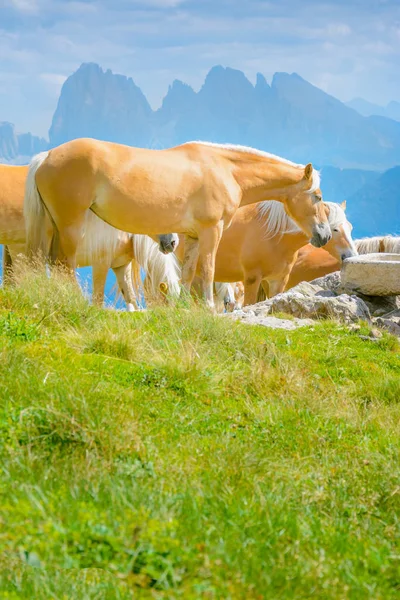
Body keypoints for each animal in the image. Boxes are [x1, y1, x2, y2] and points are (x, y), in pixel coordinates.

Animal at [0, 163, 179, 310]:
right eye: (166, 301)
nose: (173, 242)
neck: (124, 233)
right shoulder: (101, 263)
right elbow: (98, 298)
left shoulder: (121, 267)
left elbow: (131, 300)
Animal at [22, 139, 332, 310]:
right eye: (317, 196)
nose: (325, 235)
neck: (225, 170)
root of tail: (47, 156)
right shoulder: (212, 231)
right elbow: (208, 270)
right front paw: (207, 307)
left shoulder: (191, 236)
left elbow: (188, 273)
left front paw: (184, 307)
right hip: (70, 227)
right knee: (64, 264)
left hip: (54, 228)